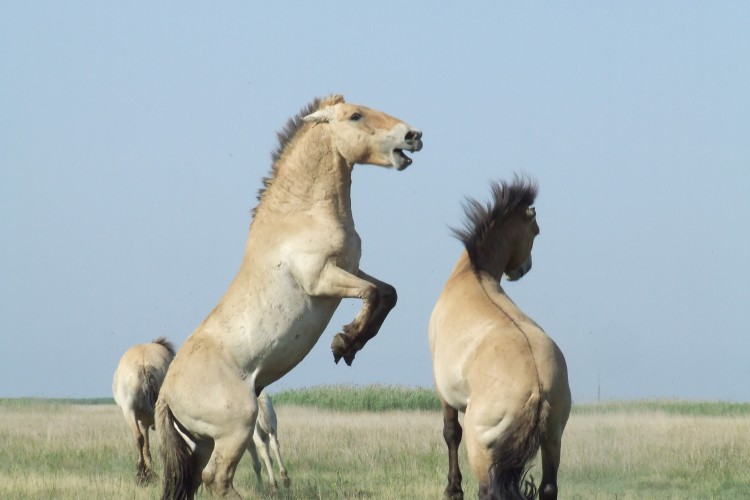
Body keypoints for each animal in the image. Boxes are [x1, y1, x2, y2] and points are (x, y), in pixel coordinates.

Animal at [113, 336, 176, 484]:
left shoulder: (142, 420)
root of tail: (144, 364)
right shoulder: (145, 421)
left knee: (138, 437)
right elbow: (147, 444)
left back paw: (141, 471)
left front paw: (147, 470)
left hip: (129, 411)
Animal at [156, 94, 424, 500]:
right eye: (355, 115)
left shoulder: (351, 269)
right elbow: (374, 293)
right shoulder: (323, 279)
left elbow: (387, 294)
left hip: (202, 441)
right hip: (237, 427)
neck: (302, 214)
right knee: (217, 477)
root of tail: (166, 393)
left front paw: (350, 344)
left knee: (199, 478)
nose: (413, 136)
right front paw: (344, 343)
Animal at [432, 178, 572, 498]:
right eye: (536, 231)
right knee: (548, 488)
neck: (473, 275)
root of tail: (536, 387)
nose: (525, 268)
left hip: (482, 449)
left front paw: (452, 489)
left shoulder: (443, 392)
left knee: (488, 491)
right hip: (552, 441)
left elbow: (450, 433)